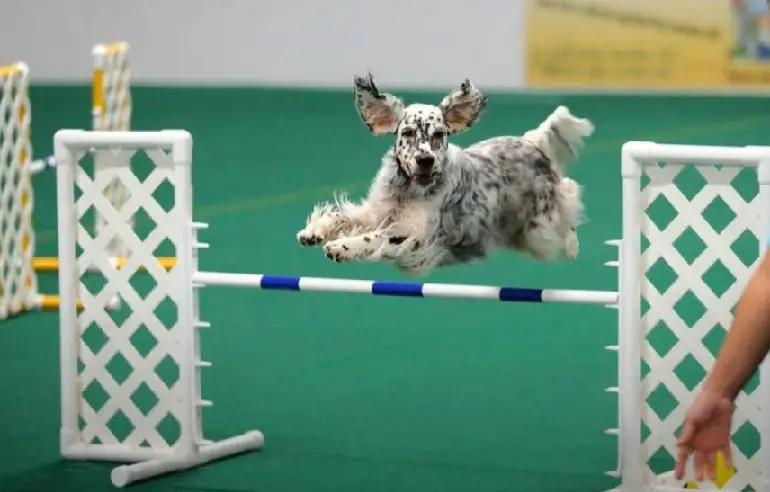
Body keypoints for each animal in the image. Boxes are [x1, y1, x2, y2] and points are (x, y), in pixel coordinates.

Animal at [296, 72, 592, 276]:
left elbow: (376, 236)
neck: (410, 190)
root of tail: (532, 142)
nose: (425, 160)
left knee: (568, 200)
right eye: (407, 133)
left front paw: (341, 247)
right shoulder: (377, 212)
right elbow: (341, 216)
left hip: (541, 226)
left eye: (439, 134)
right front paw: (314, 231)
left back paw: (573, 246)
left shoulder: (414, 233)